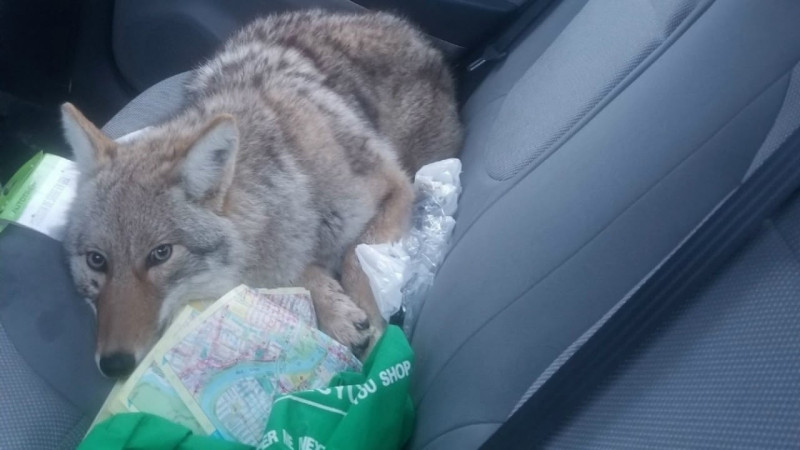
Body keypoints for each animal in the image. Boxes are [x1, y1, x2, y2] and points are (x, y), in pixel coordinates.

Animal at [61, 10, 462, 378]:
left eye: (160, 254)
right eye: (96, 260)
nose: (114, 365)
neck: (295, 182)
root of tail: (405, 28)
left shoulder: (396, 187)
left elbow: (356, 258)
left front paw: (374, 338)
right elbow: (300, 273)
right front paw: (336, 312)